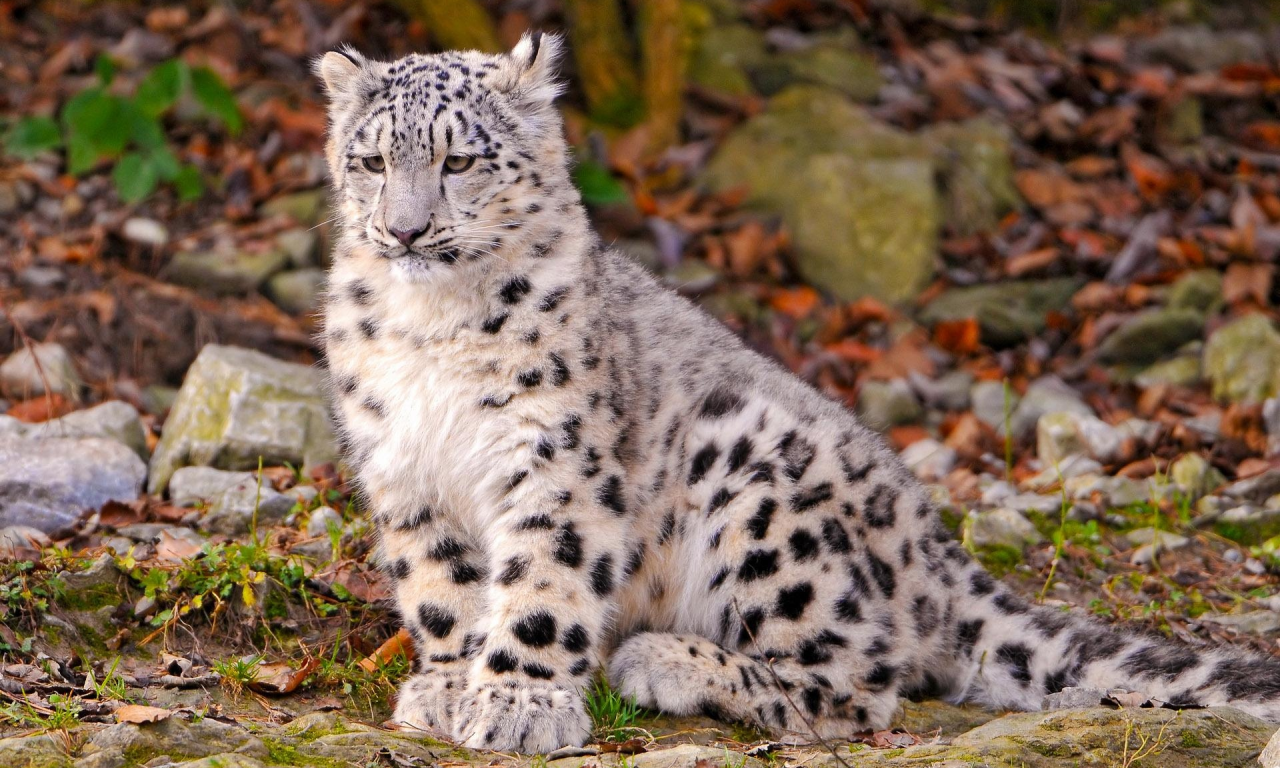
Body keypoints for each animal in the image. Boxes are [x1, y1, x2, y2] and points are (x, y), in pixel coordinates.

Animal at [314, 34, 1280, 747]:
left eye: (460, 160)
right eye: (371, 161)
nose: (405, 229)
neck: (432, 328)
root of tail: (933, 547)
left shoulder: (554, 457)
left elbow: (544, 582)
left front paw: (518, 705)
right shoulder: (403, 465)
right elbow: (441, 587)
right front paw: (448, 685)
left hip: (756, 486)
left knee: (858, 681)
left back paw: (664, 663)